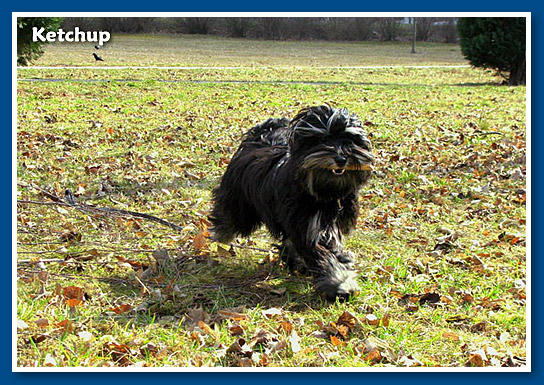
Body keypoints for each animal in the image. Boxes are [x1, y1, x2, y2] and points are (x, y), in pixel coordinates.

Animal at [209, 106, 374, 300]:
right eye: (322, 139)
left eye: (349, 139)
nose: (341, 159)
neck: (326, 192)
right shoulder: (306, 228)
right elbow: (322, 255)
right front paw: (340, 282)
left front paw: (341, 264)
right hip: (240, 205)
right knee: (229, 217)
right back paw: (220, 233)